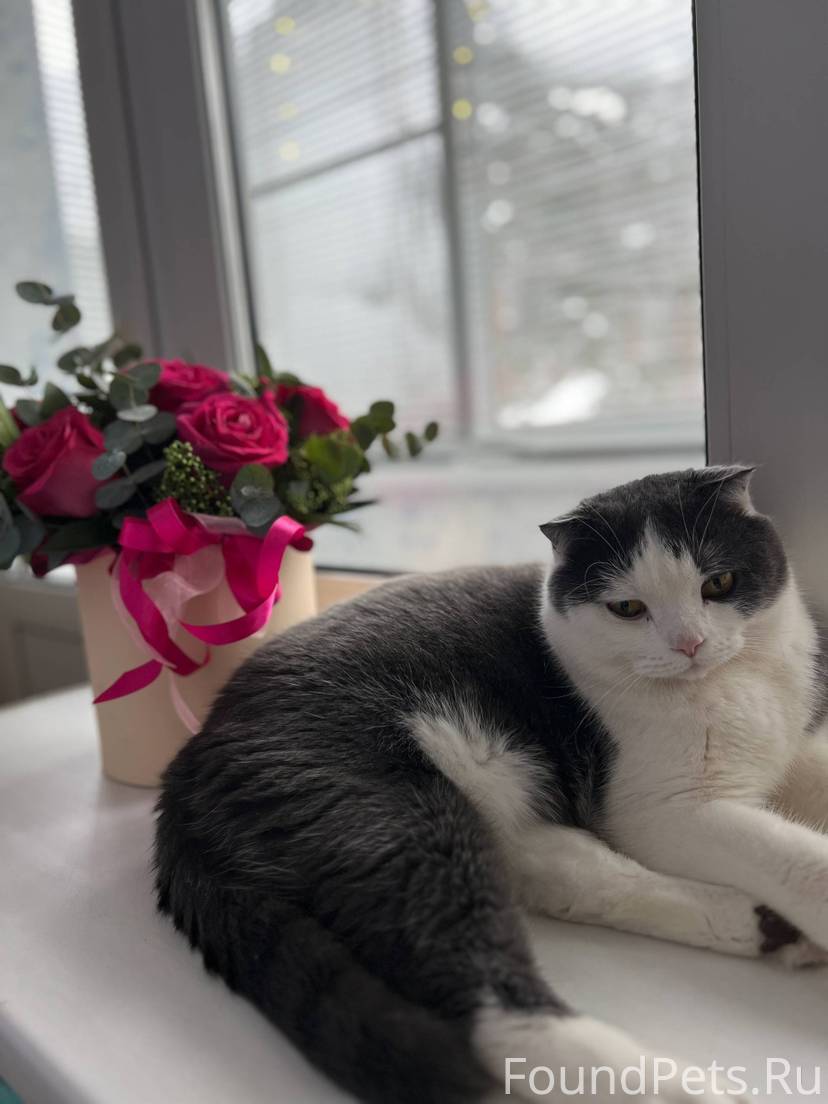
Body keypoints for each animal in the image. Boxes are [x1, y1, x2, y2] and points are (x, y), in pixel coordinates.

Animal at [155, 465, 828, 1104]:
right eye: (628, 609)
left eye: (719, 584)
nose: (690, 643)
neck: (732, 684)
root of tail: (187, 764)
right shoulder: (661, 809)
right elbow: (796, 858)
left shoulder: (794, 746)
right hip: (393, 821)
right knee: (489, 1003)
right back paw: (676, 1086)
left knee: (579, 879)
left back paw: (771, 929)